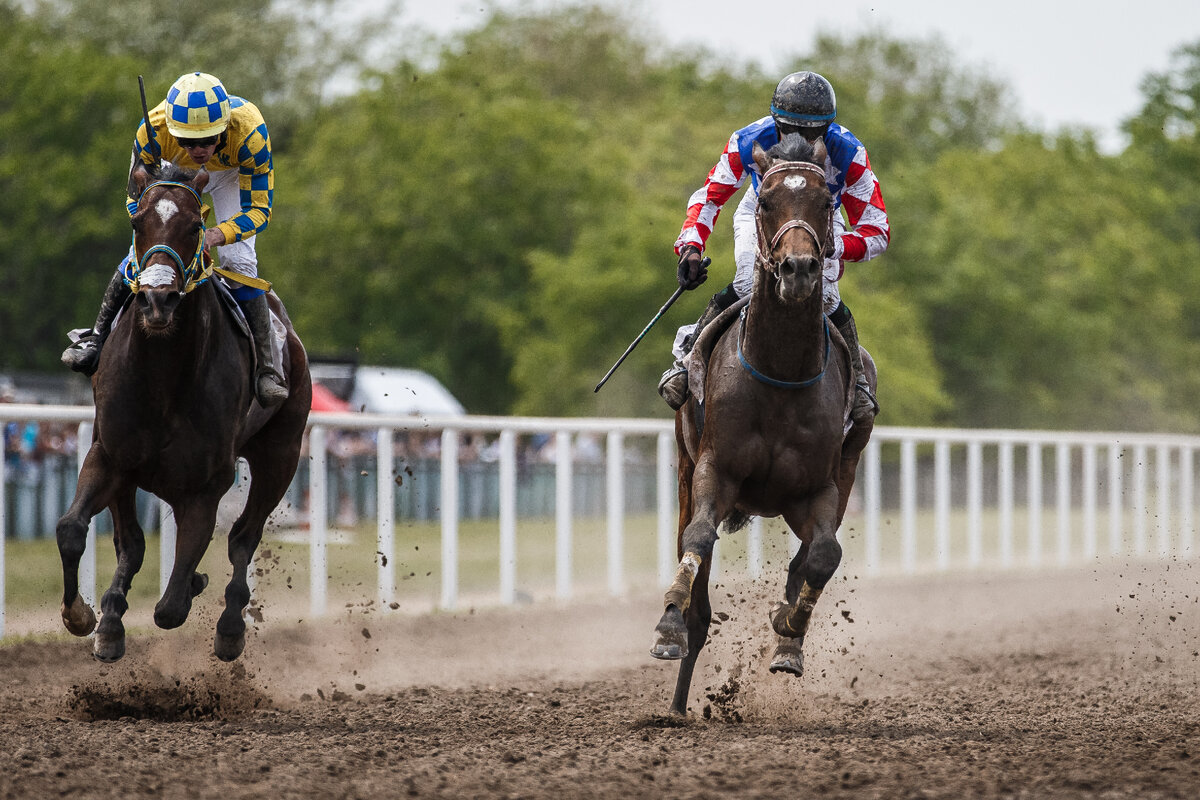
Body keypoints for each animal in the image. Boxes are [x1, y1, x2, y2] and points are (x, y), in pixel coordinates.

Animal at [56, 163, 312, 662]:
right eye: (137, 223)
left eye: (195, 227)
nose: (159, 300)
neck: (163, 378)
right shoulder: (109, 454)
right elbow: (73, 529)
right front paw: (83, 617)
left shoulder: (207, 485)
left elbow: (170, 607)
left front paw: (191, 589)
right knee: (132, 543)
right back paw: (112, 618)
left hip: (281, 454)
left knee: (243, 538)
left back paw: (230, 626)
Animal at [652, 134, 878, 714]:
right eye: (769, 201)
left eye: (825, 202)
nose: (799, 269)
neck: (780, 374)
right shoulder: (716, 471)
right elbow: (699, 538)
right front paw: (668, 625)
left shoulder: (818, 490)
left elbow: (823, 555)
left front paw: (788, 633)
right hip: (685, 466)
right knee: (695, 567)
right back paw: (677, 700)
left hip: (835, 478)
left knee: (808, 559)